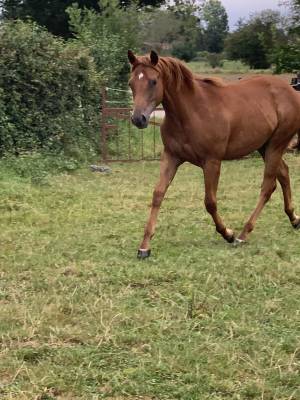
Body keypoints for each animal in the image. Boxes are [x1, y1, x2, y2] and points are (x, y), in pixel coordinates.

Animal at [128, 50, 300, 258]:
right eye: (131, 83)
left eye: (153, 81)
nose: (138, 119)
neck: (191, 112)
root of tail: (292, 91)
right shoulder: (171, 157)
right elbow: (158, 194)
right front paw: (144, 247)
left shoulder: (212, 162)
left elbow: (210, 202)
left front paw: (228, 234)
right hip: (265, 147)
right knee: (283, 173)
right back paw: (294, 219)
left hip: (276, 145)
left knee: (268, 186)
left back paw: (243, 234)